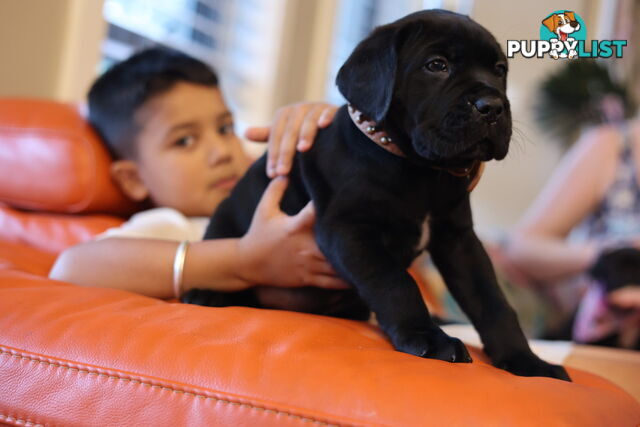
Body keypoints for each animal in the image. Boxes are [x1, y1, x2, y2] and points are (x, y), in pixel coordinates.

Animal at [182, 9, 568, 382]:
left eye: (499, 70)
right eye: (437, 65)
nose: (492, 105)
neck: (420, 169)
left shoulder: (459, 240)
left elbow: (492, 300)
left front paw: (526, 360)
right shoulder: (349, 230)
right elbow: (396, 283)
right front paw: (428, 338)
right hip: (226, 218)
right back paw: (206, 292)